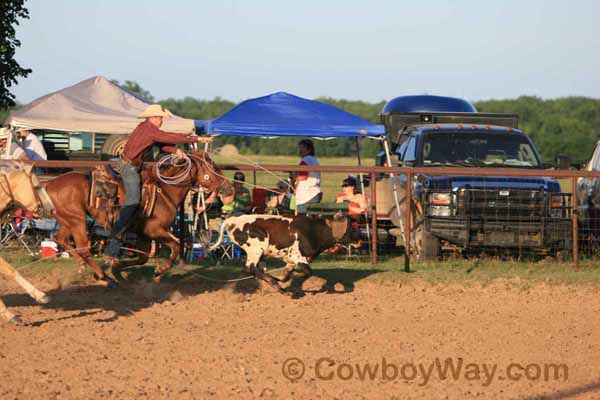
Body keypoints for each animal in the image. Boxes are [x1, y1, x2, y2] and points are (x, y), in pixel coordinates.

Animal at [43, 152, 232, 286]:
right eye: (213, 168)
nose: (229, 188)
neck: (165, 191)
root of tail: (48, 185)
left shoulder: (143, 235)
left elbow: (143, 258)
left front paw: (117, 268)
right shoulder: (154, 229)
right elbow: (176, 246)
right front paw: (159, 271)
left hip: (69, 220)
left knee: (60, 238)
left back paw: (85, 267)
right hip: (78, 221)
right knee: (83, 249)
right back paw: (102, 276)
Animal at [209, 214, 358, 292]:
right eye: (352, 229)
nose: (360, 240)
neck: (315, 231)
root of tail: (234, 220)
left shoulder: (291, 262)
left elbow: (286, 276)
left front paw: (280, 279)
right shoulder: (298, 257)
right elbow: (308, 272)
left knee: (254, 269)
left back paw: (273, 282)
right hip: (256, 249)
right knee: (250, 268)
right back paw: (276, 286)